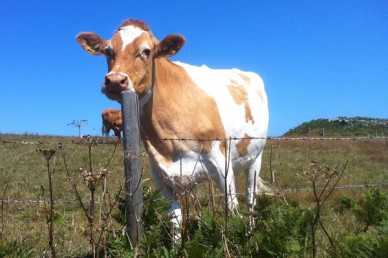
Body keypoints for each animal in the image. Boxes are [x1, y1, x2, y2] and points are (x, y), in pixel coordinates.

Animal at [77, 17, 268, 232]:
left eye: (146, 51)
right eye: (108, 51)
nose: (115, 80)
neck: (170, 144)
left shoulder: (222, 165)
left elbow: (233, 211)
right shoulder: (160, 174)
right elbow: (175, 219)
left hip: (255, 158)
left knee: (250, 199)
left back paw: (251, 231)